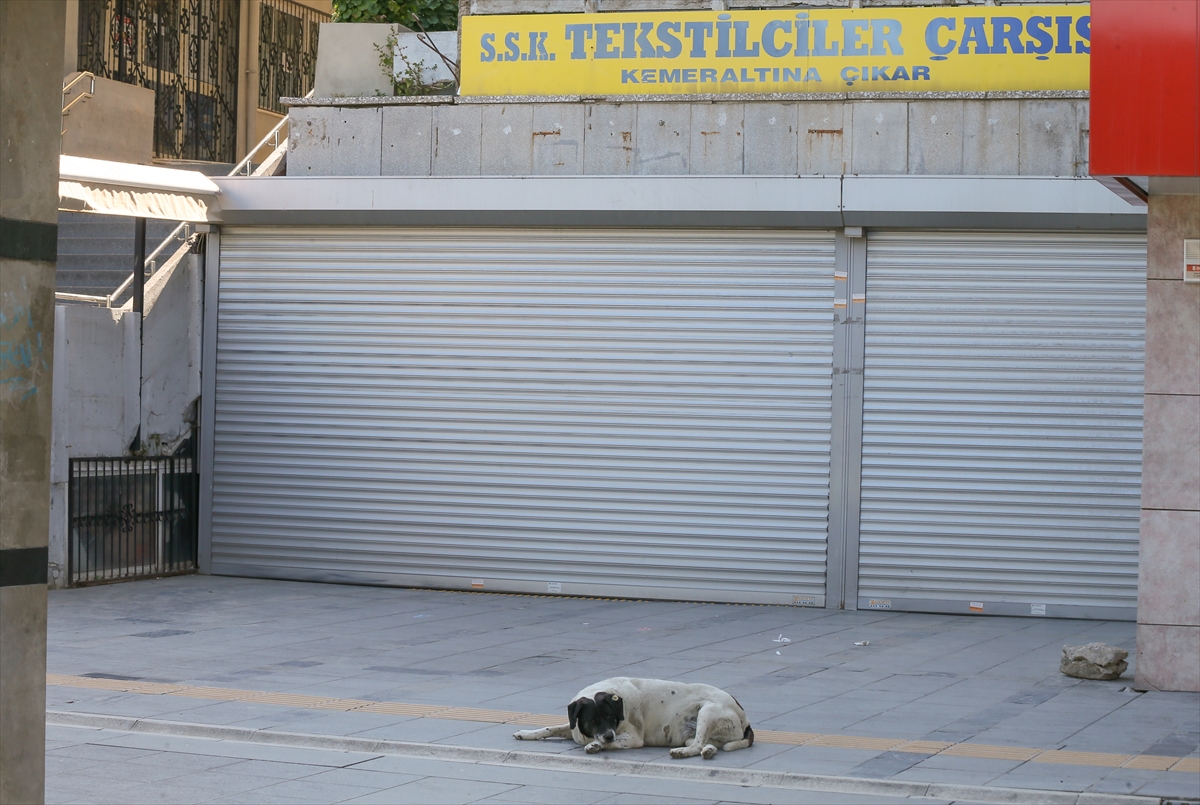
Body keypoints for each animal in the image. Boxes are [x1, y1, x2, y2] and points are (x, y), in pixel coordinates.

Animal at [511, 676, 753, 758]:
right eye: (593, 720)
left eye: (610, 717)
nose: (608, 735)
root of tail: (745, 718)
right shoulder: (574, 728)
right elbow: (549, 729)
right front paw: (526, 733)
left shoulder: (633, 738)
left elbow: (610, 743)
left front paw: (597, 746)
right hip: (693, 733)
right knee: (705, 745)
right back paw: (709, 751)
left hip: (708, 711)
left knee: (696, 745)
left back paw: (683, 753)